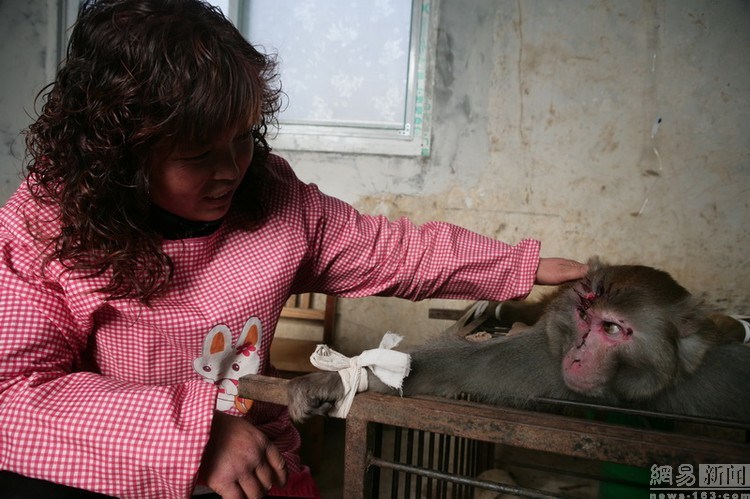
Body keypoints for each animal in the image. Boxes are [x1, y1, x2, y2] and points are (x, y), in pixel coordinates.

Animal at [288, 262, 750, 426]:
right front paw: (333, 381)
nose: (578, 354)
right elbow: (454, 369)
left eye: (613, 329)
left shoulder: (719, 374)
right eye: (583, 317)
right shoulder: (547, 356)